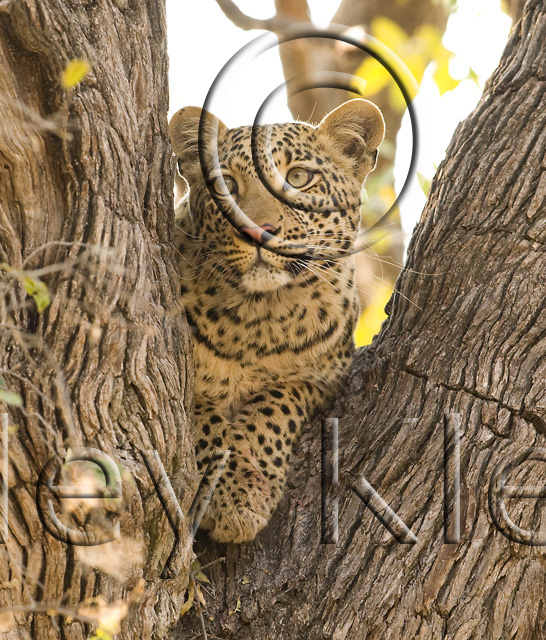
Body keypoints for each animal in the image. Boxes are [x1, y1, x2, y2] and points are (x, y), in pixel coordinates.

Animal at [168, 100, 384, 544]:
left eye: (298, 177)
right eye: (227, 185)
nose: (256, 232)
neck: (260, 317)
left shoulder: (324, 380)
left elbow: (276, 406)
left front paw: (241, 494)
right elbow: (200, 411)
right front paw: (230, 492)